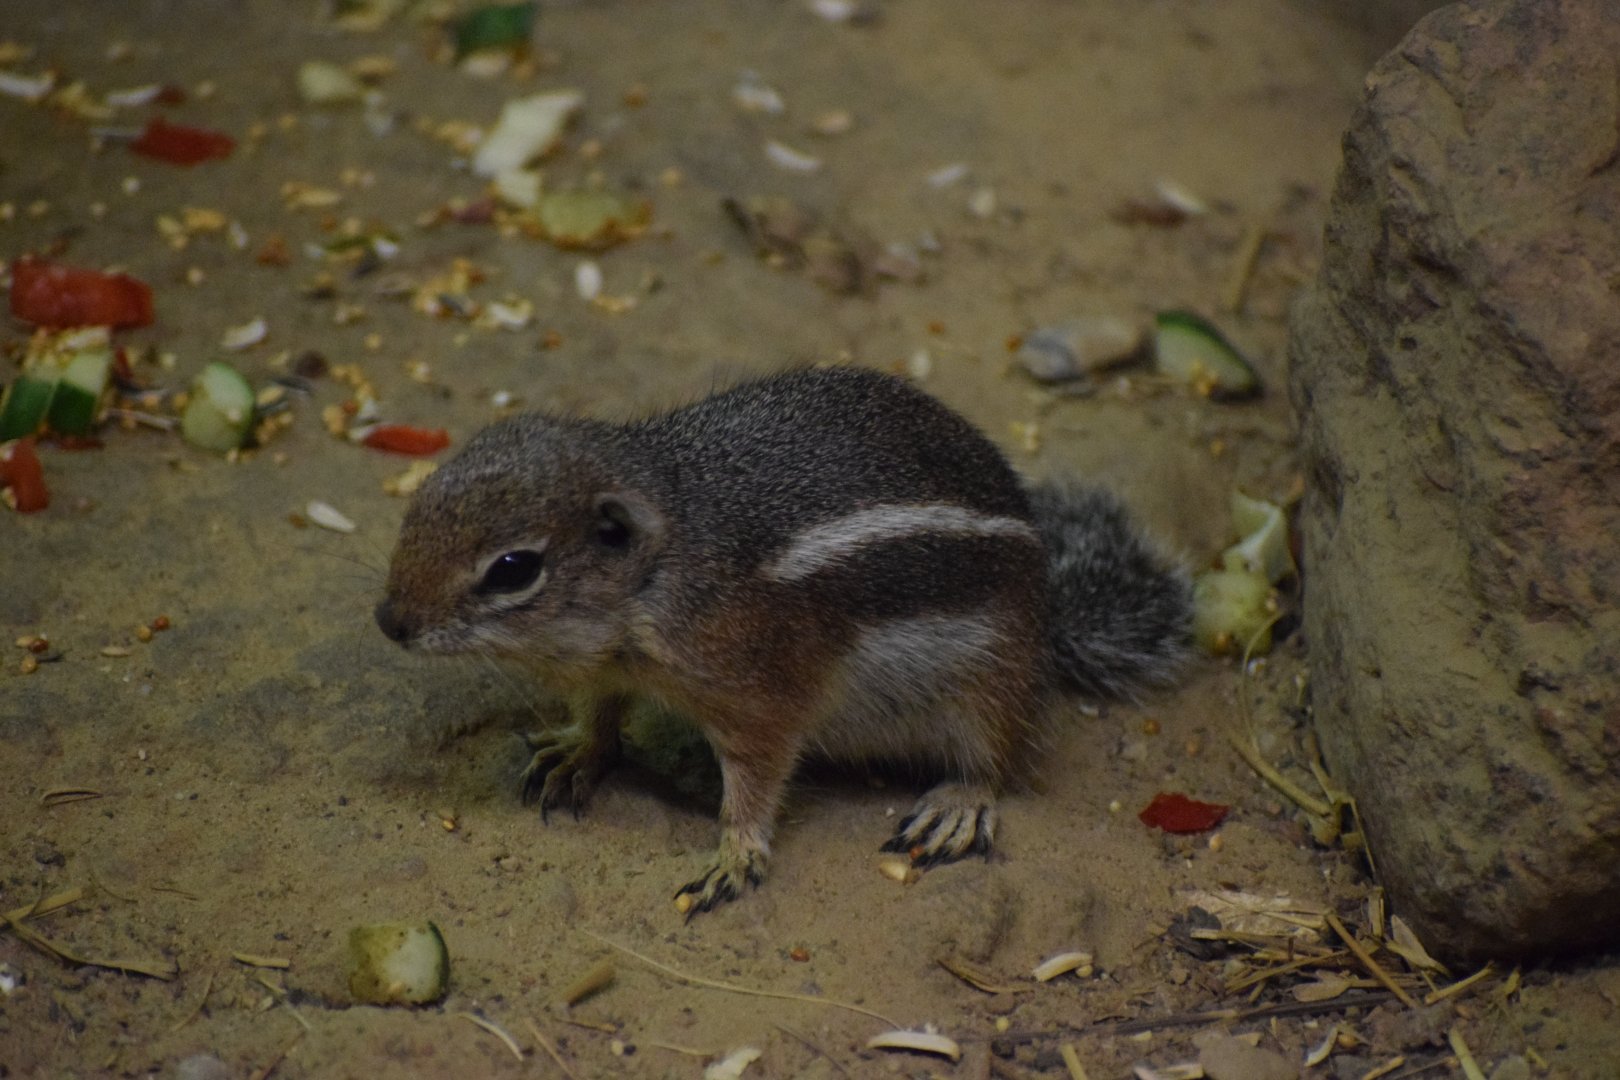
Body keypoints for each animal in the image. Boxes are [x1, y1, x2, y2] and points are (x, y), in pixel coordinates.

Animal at [376, 366, 1191, 914]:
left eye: (513, 569)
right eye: (423, 497)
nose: (390, 620)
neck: (664, 564)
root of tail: (1051, 611)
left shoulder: (759, 692)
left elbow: (757, 779)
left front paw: (734, 855)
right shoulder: (612, 670)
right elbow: (602, 713)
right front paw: (578, 751)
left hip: (989, 679)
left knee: (996, 757)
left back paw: (959, 803)